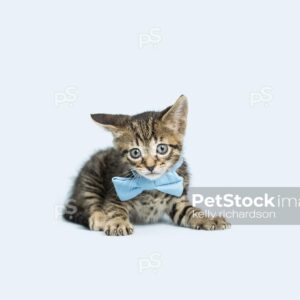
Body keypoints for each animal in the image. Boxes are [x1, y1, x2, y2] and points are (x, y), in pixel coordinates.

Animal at [62, 95, 230, 236]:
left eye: (162, 148)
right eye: (135, 153)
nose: (150, 166)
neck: (152, 186)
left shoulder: (177, 200)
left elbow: (189, 211)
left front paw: (209, 218)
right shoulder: (115, 193)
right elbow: (115, 208)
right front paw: (117, 222)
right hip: (92, 173)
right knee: (90, 199)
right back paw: (99, 217)